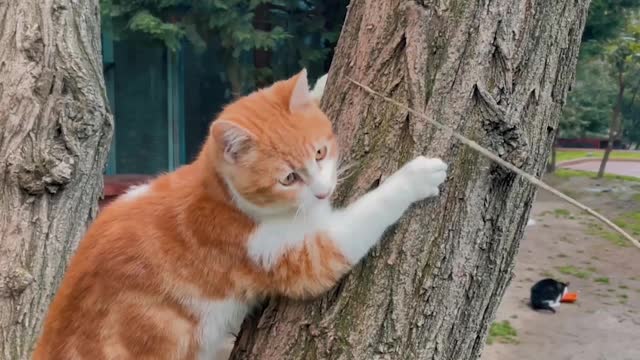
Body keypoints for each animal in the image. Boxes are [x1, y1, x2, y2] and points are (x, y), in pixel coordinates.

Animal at [32, 69, 448, 358]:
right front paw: (416, 177)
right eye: (288, 178)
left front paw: (319, 84)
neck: (224, 197)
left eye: (319, 153)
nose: (323, 191)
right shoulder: (302, 255)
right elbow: (367, 213)